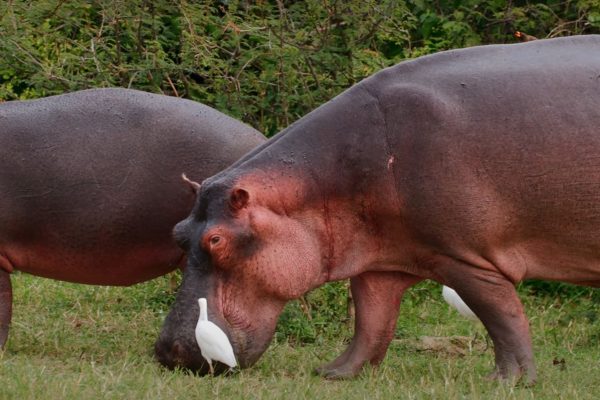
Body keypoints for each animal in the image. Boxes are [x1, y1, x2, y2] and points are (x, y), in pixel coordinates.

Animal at [155, 36, 600, 382]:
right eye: (178, 231)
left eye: (216, 239)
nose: (168, 352)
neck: (315, 183)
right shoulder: (382, 259)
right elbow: (371, 322)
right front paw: (333, 373)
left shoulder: (467, 259)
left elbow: (504, 318)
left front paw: (509, 381)